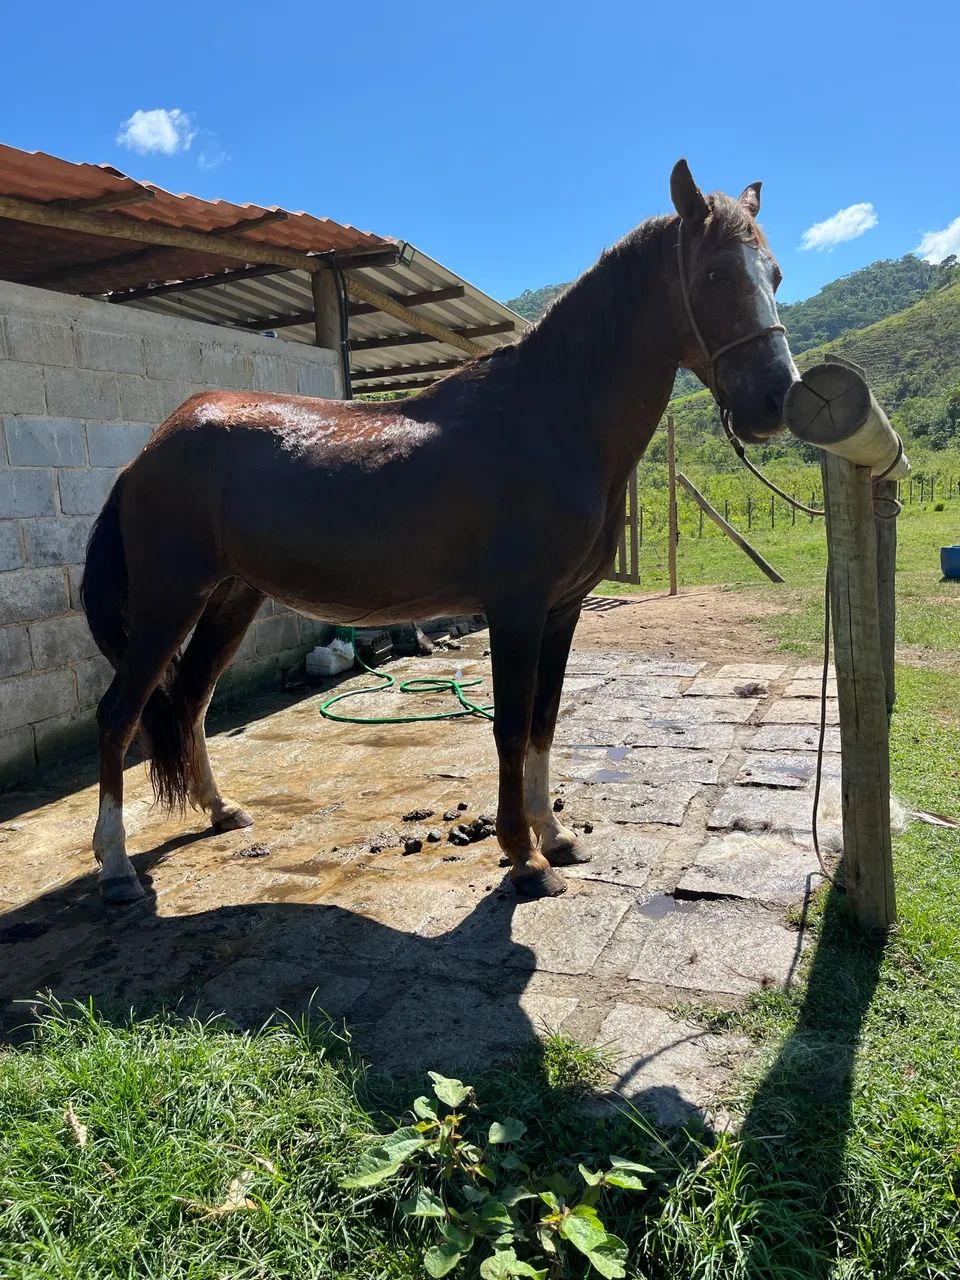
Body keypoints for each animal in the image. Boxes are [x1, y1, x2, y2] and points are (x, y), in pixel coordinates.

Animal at [81, 159, 798, 905]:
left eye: (774, 274)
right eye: (715, 272)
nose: (776, 399)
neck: (549, 421)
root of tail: (147, 453)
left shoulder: (561, 611)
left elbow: (544, 721)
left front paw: (555, 837)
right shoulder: (516, 610)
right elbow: (511, 726)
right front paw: (522, 856)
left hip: (230, 597)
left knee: (191, 701)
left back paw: (220, 811)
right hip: (168, 602)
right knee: (119, 714)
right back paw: (116, 866)